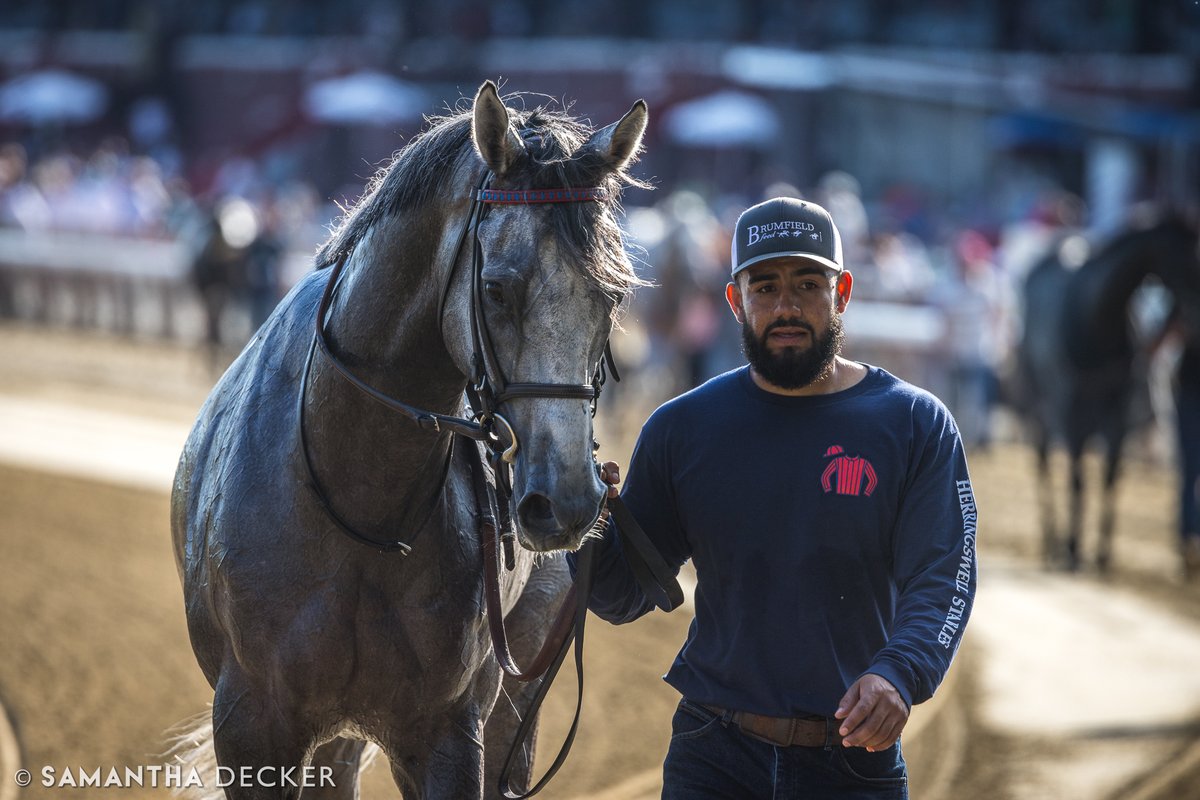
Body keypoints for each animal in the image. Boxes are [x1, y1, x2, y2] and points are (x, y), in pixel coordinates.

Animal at [169, 82, 648, 800]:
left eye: (612, 295)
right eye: (495, 288)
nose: (565, 500)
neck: (359, 498)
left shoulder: (448, 733)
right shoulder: (254, 724)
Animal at [1017, 215, 1200, 573]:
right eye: (1183, 255)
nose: (1194, 318)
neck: (1094, 321)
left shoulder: (1119, 410)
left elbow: (1110, 476)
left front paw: (1102, 554)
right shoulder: (1069, 410)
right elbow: (1076, 478)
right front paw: (1072, 549)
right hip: (1038, 403)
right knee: (1043, 461)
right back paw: (1052, 541)